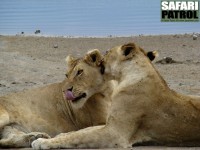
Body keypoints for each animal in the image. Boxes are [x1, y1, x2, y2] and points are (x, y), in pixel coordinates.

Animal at [31, 42, 200, 149]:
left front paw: (43, 143)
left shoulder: (115, 134)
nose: (98, 58)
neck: (124, 78)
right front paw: (55, 136)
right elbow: (81, 131)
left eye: (107, 53)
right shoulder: (109, 124)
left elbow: (78, 137)